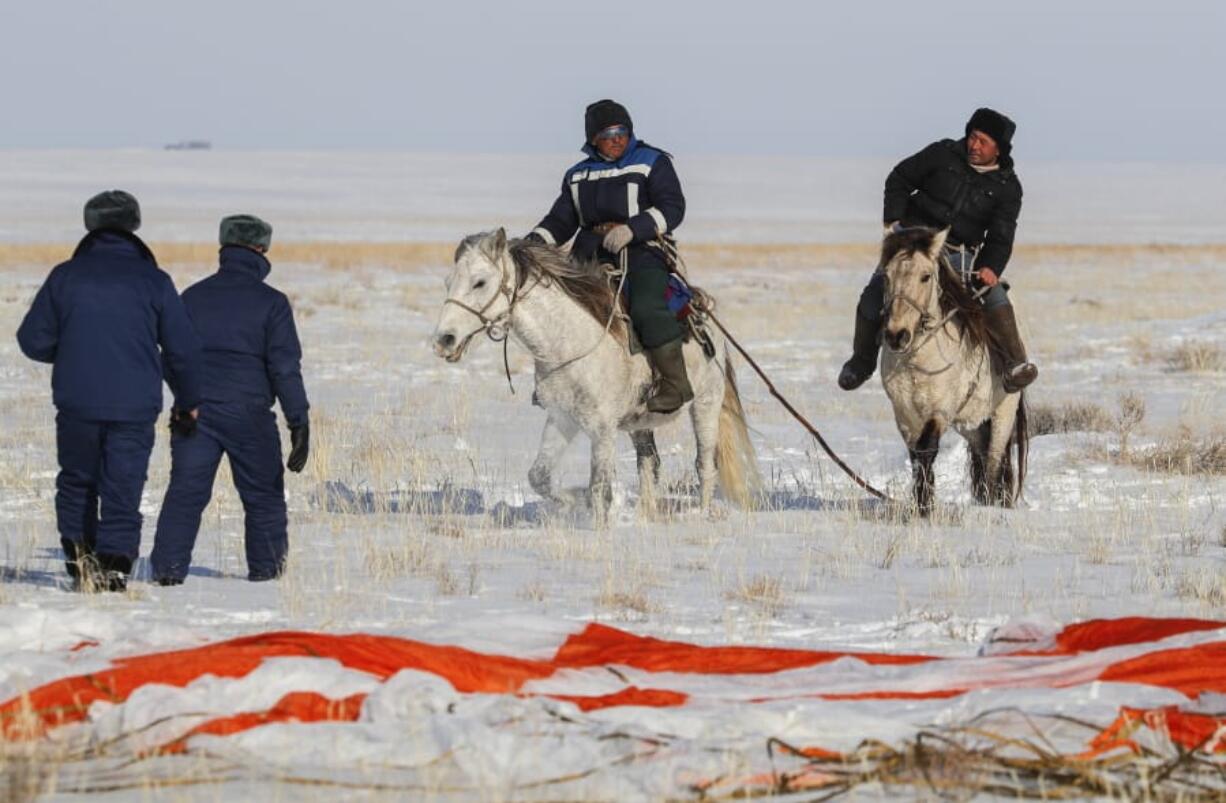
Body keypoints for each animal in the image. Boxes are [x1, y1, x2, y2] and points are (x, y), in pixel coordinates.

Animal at [431, 229, 755, 527]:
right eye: (447, 282)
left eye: (480, 282)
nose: (444, 340)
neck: (568, 342)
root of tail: (704, 313)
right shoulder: (561, 418)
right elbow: (540, 476)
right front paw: (573, 502)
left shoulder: (602, 428)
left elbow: (599, 487)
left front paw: (599, 526)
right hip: (642, 423)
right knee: (649, 464)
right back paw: (645, 515)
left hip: (705, 405)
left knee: (705, 465)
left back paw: (701, 514)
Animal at [882, 225, 1024, 514]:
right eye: (887, 276)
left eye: (925, 276)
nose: (896, 336)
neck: (918, 361)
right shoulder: (903, 413)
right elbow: (915, 455)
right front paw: (921, 503)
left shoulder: (941, 409)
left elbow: (927, 448)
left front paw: (925, 508)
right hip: (972, 423)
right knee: (982, 453)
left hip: (1003, 413)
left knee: (995, 461)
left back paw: (996, 504)